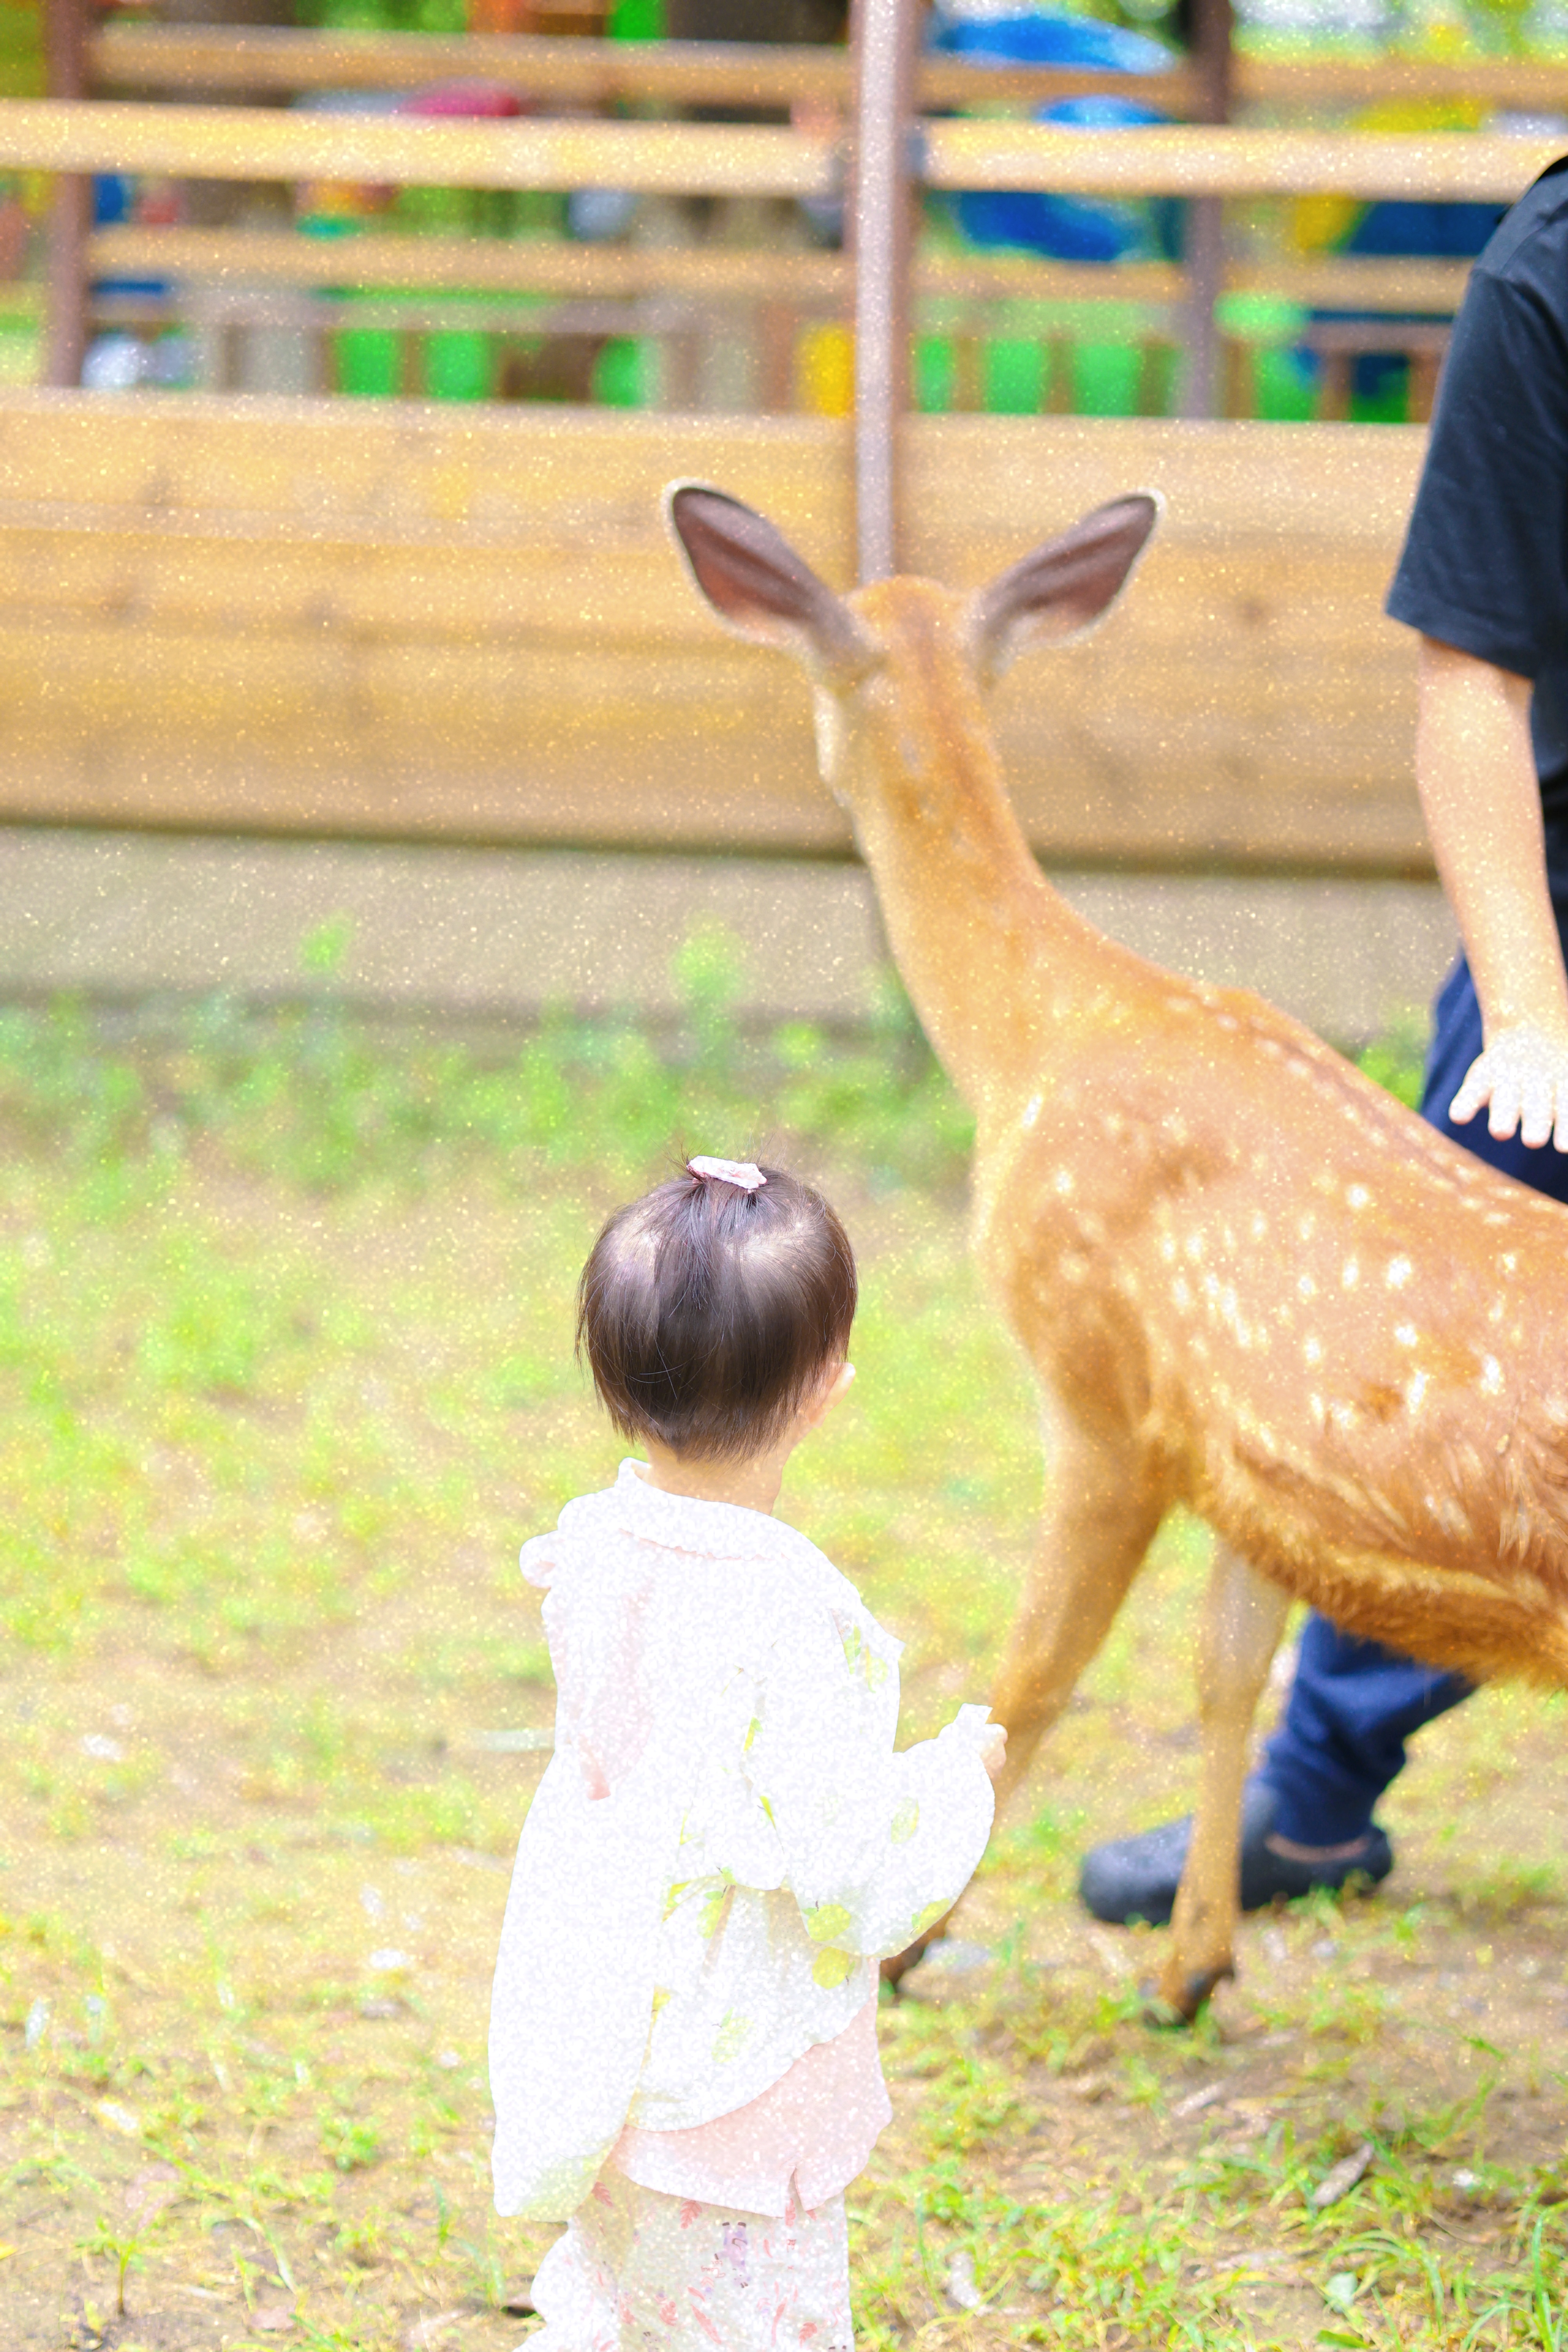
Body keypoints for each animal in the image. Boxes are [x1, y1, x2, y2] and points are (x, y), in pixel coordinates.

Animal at [668, 482, 1568, 2023]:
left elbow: (1030, 1681)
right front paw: (1193, 1966)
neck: (1044, 1036)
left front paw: (907, 1948)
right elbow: (1227, 1672)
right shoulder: (1253, 1461)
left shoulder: (1098, 1386)